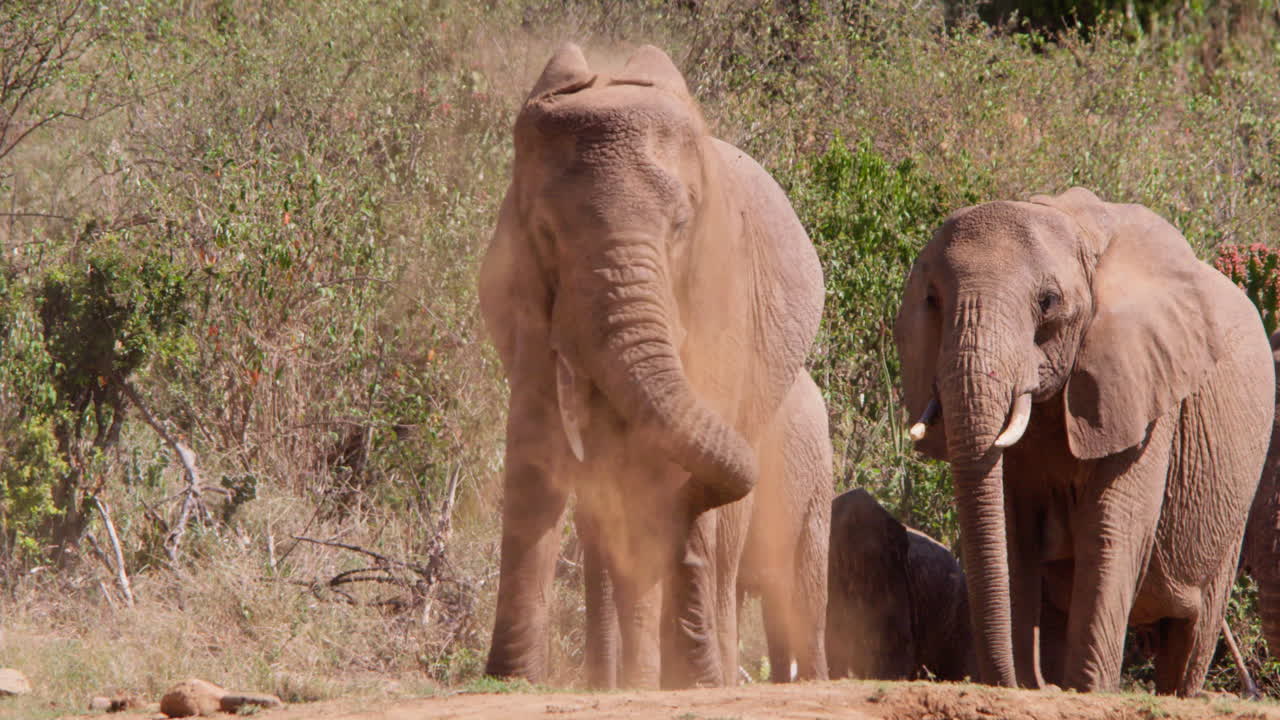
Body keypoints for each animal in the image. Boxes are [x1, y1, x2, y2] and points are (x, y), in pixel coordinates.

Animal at [478, 43, 824, 689]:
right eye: (545, 232)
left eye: (682, 226)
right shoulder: (521, 291)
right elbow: (534, 449)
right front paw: (511, 680)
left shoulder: (720, 292)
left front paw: (683, 677)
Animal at [894, 187, 1274, 696]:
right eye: (932, 299)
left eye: (1048, 302)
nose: (1014, 683)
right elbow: (1013, 530)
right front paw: (1033, 685)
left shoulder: (1146, 392)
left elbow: (1111, 524)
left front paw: (1085, 690)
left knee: (1191, 635)